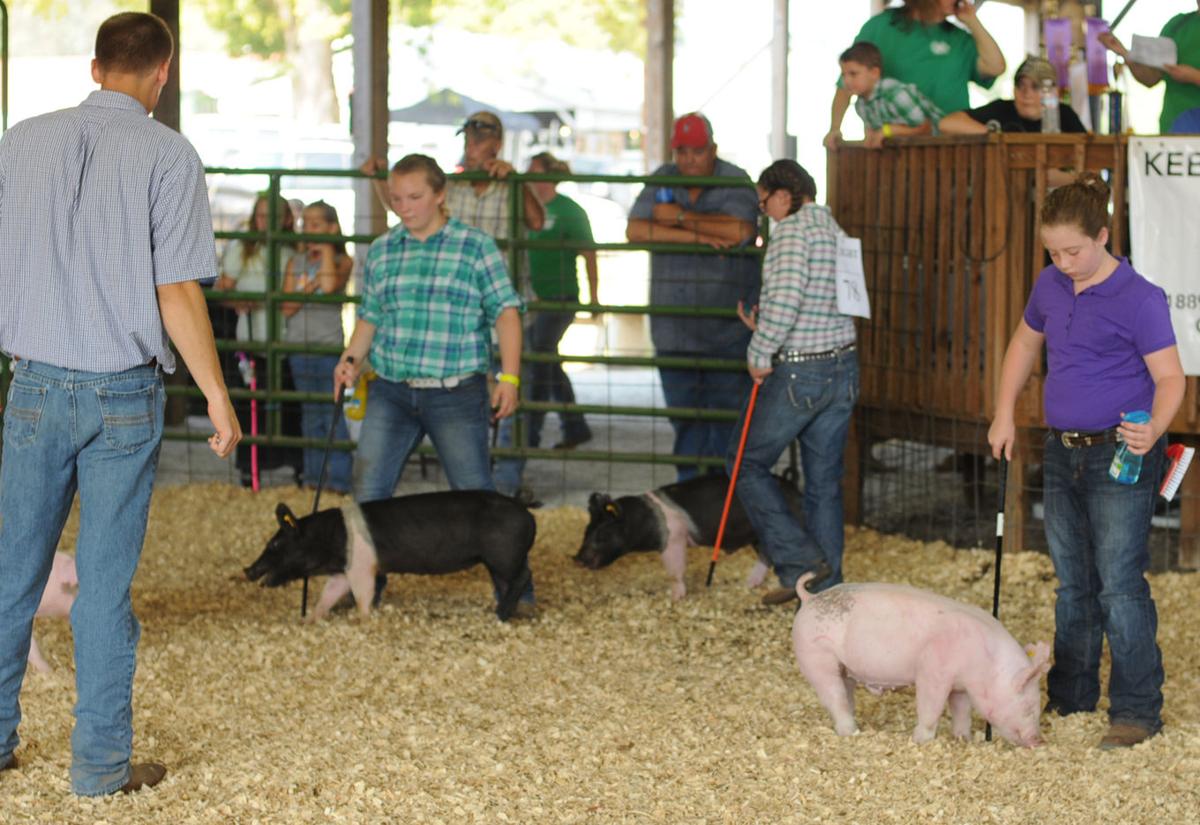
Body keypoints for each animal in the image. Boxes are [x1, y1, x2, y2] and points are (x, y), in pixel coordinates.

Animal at [243, 489, 535, 618]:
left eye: (275, 544)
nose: (247, 570)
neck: (327, 539)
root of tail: (523, 505)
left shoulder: (362, 566)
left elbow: (364, 594)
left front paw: (363, 619)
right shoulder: (342, 571)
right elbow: (330, 593)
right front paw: (313, 619)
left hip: (504, 556)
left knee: (523, 576)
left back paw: (501, 614)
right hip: (499, 561)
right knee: (510, 582)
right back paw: (505, 611)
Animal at [573, 470, 801, 599]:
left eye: (602, 534)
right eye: (586, 531)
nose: (577, 559)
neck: (644, 520)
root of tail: (796, 490)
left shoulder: (674, 538)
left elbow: (675, 570)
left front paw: (676, 598)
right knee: (767, 556)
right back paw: (750, 584)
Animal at [796, 573, 1051, 748]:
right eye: (1028, 707)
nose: (1039, 740)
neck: (986, 666)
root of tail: (810, 597)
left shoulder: (960, 687)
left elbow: (962, 711)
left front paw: (963, 739)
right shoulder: (933, 671)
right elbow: (931, 706)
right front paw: (922, 740)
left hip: (844, 667)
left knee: (845, 692)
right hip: (817, 657)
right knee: (834, 696)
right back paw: (850, 732)